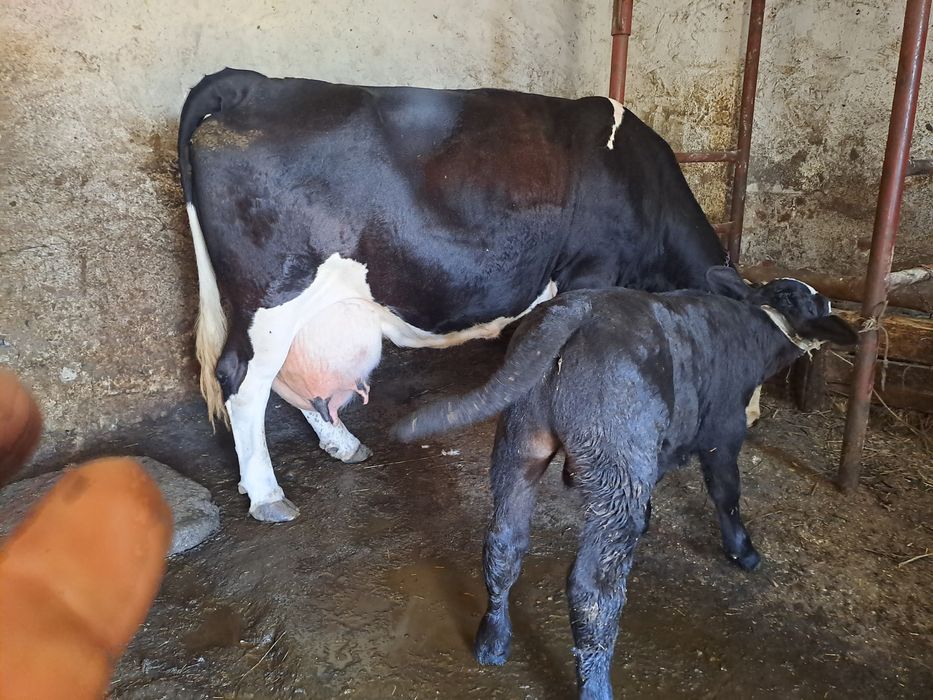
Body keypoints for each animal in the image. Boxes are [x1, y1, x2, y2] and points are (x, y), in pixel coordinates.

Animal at [177, 68, 729, 522]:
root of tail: (251, 83)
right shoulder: (592, 273)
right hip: (271, 294)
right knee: (242, 380)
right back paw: (267, 496)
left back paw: (341, 444)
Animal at [395, 267, 858, 700]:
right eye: (808, 300)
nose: (828, 302)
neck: (755, 325)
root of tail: (574, 309)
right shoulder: (723, 432)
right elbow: (726, 493)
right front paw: (744, 552)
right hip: (616, 461)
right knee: (592, 588)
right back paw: (595, 685)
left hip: (521, 439)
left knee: (503, 543)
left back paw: (492, 641)